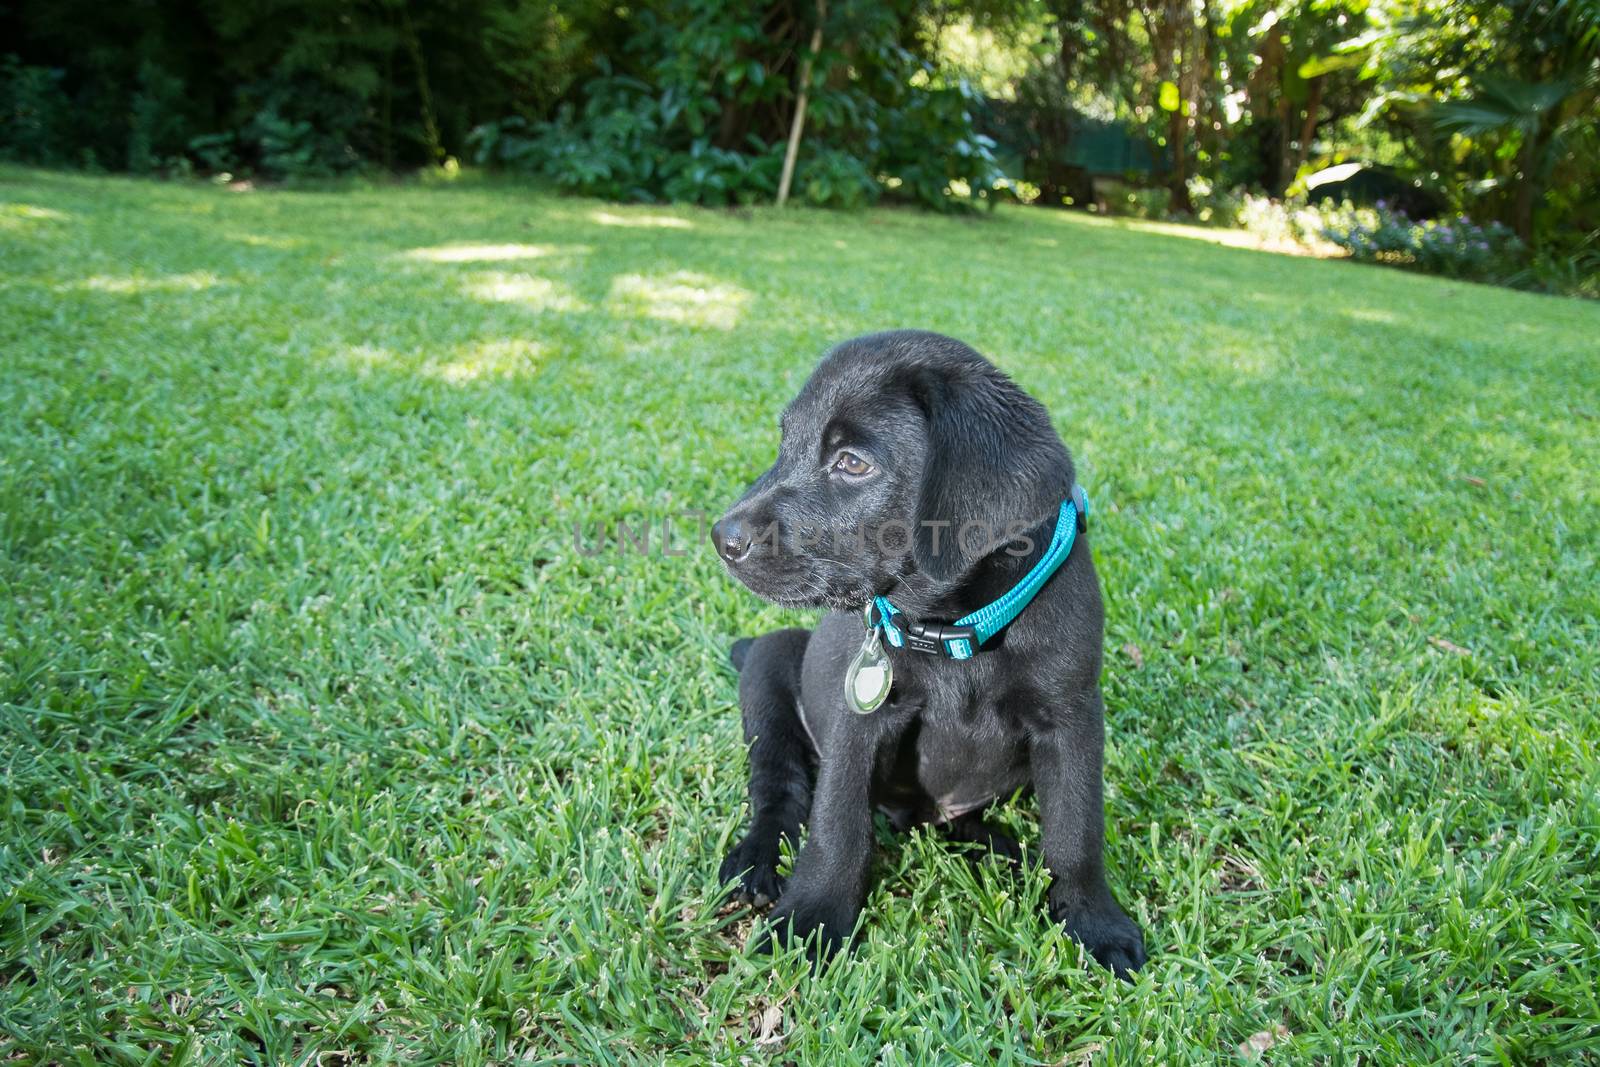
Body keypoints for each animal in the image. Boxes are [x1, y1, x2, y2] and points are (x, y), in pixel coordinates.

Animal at [713, 331, 1152, 979]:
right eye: (785, 442)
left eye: (852, 463)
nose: (723, 538)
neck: (957, 629)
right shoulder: (858, 721)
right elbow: (836, 825)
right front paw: (811, 919)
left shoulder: (1070, 714)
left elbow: (1076, 828)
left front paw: (1092, 920)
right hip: (771, 663)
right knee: (780, 788)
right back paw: (756, 859)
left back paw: (997, 846)